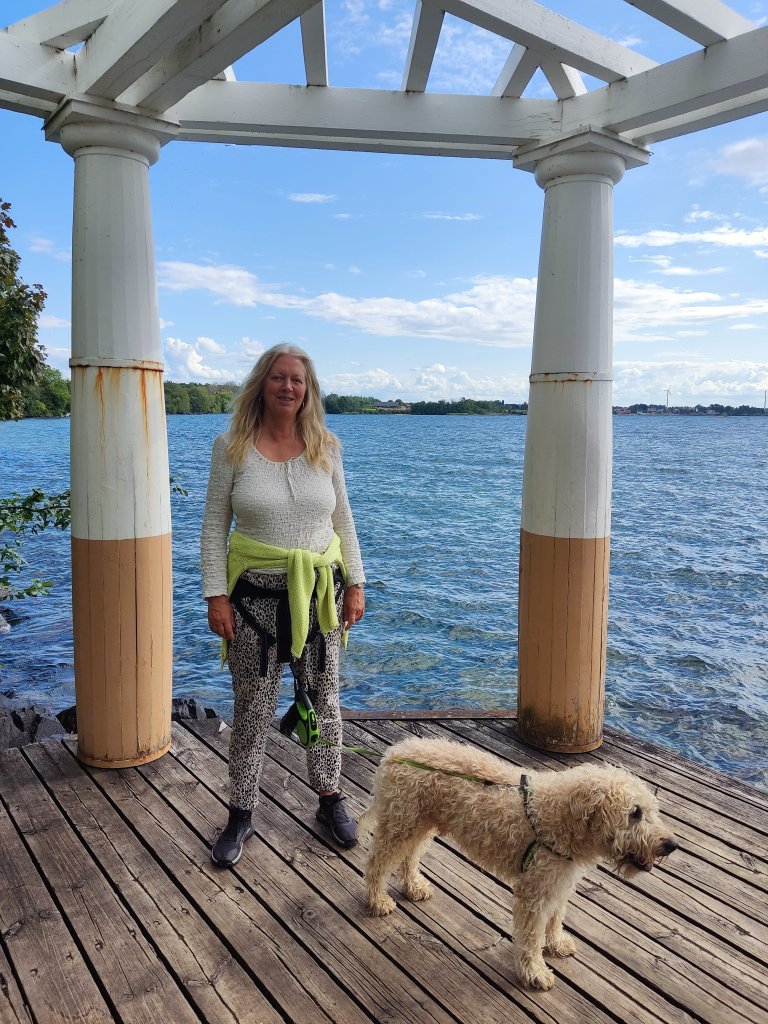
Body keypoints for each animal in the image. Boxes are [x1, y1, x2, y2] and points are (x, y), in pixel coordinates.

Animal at [360, 736, 678, 991]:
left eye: (651, 810)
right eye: (634, 812)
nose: (671, 845)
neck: (561, 817)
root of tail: (394, 752)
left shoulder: (558, 882)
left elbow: (556, 918)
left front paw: (556, 944)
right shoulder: (534, 892)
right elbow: (530, 937)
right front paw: (535, 973)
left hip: (420, 825)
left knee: (409, 857)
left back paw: (414, 887)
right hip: (400, 825)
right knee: (377, 863)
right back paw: (378, 901)